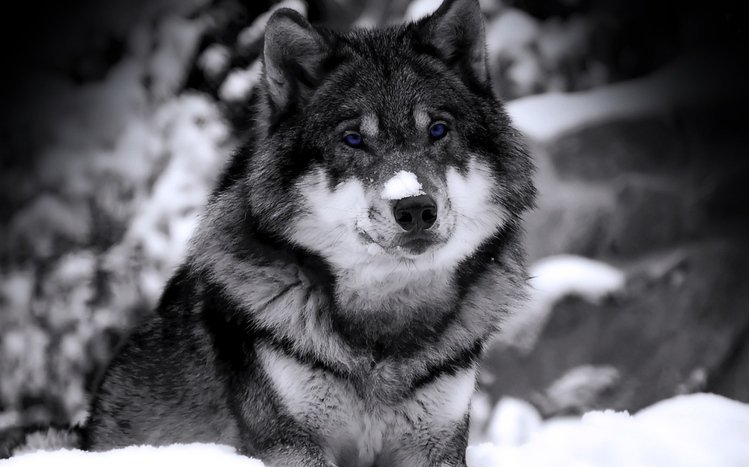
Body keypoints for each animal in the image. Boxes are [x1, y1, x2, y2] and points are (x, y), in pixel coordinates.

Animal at [78, 0, 536, 465]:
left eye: (438, 130)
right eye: (353, 139)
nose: (415, 208)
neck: (384, 326)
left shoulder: (437, 443)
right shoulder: (292, 442)